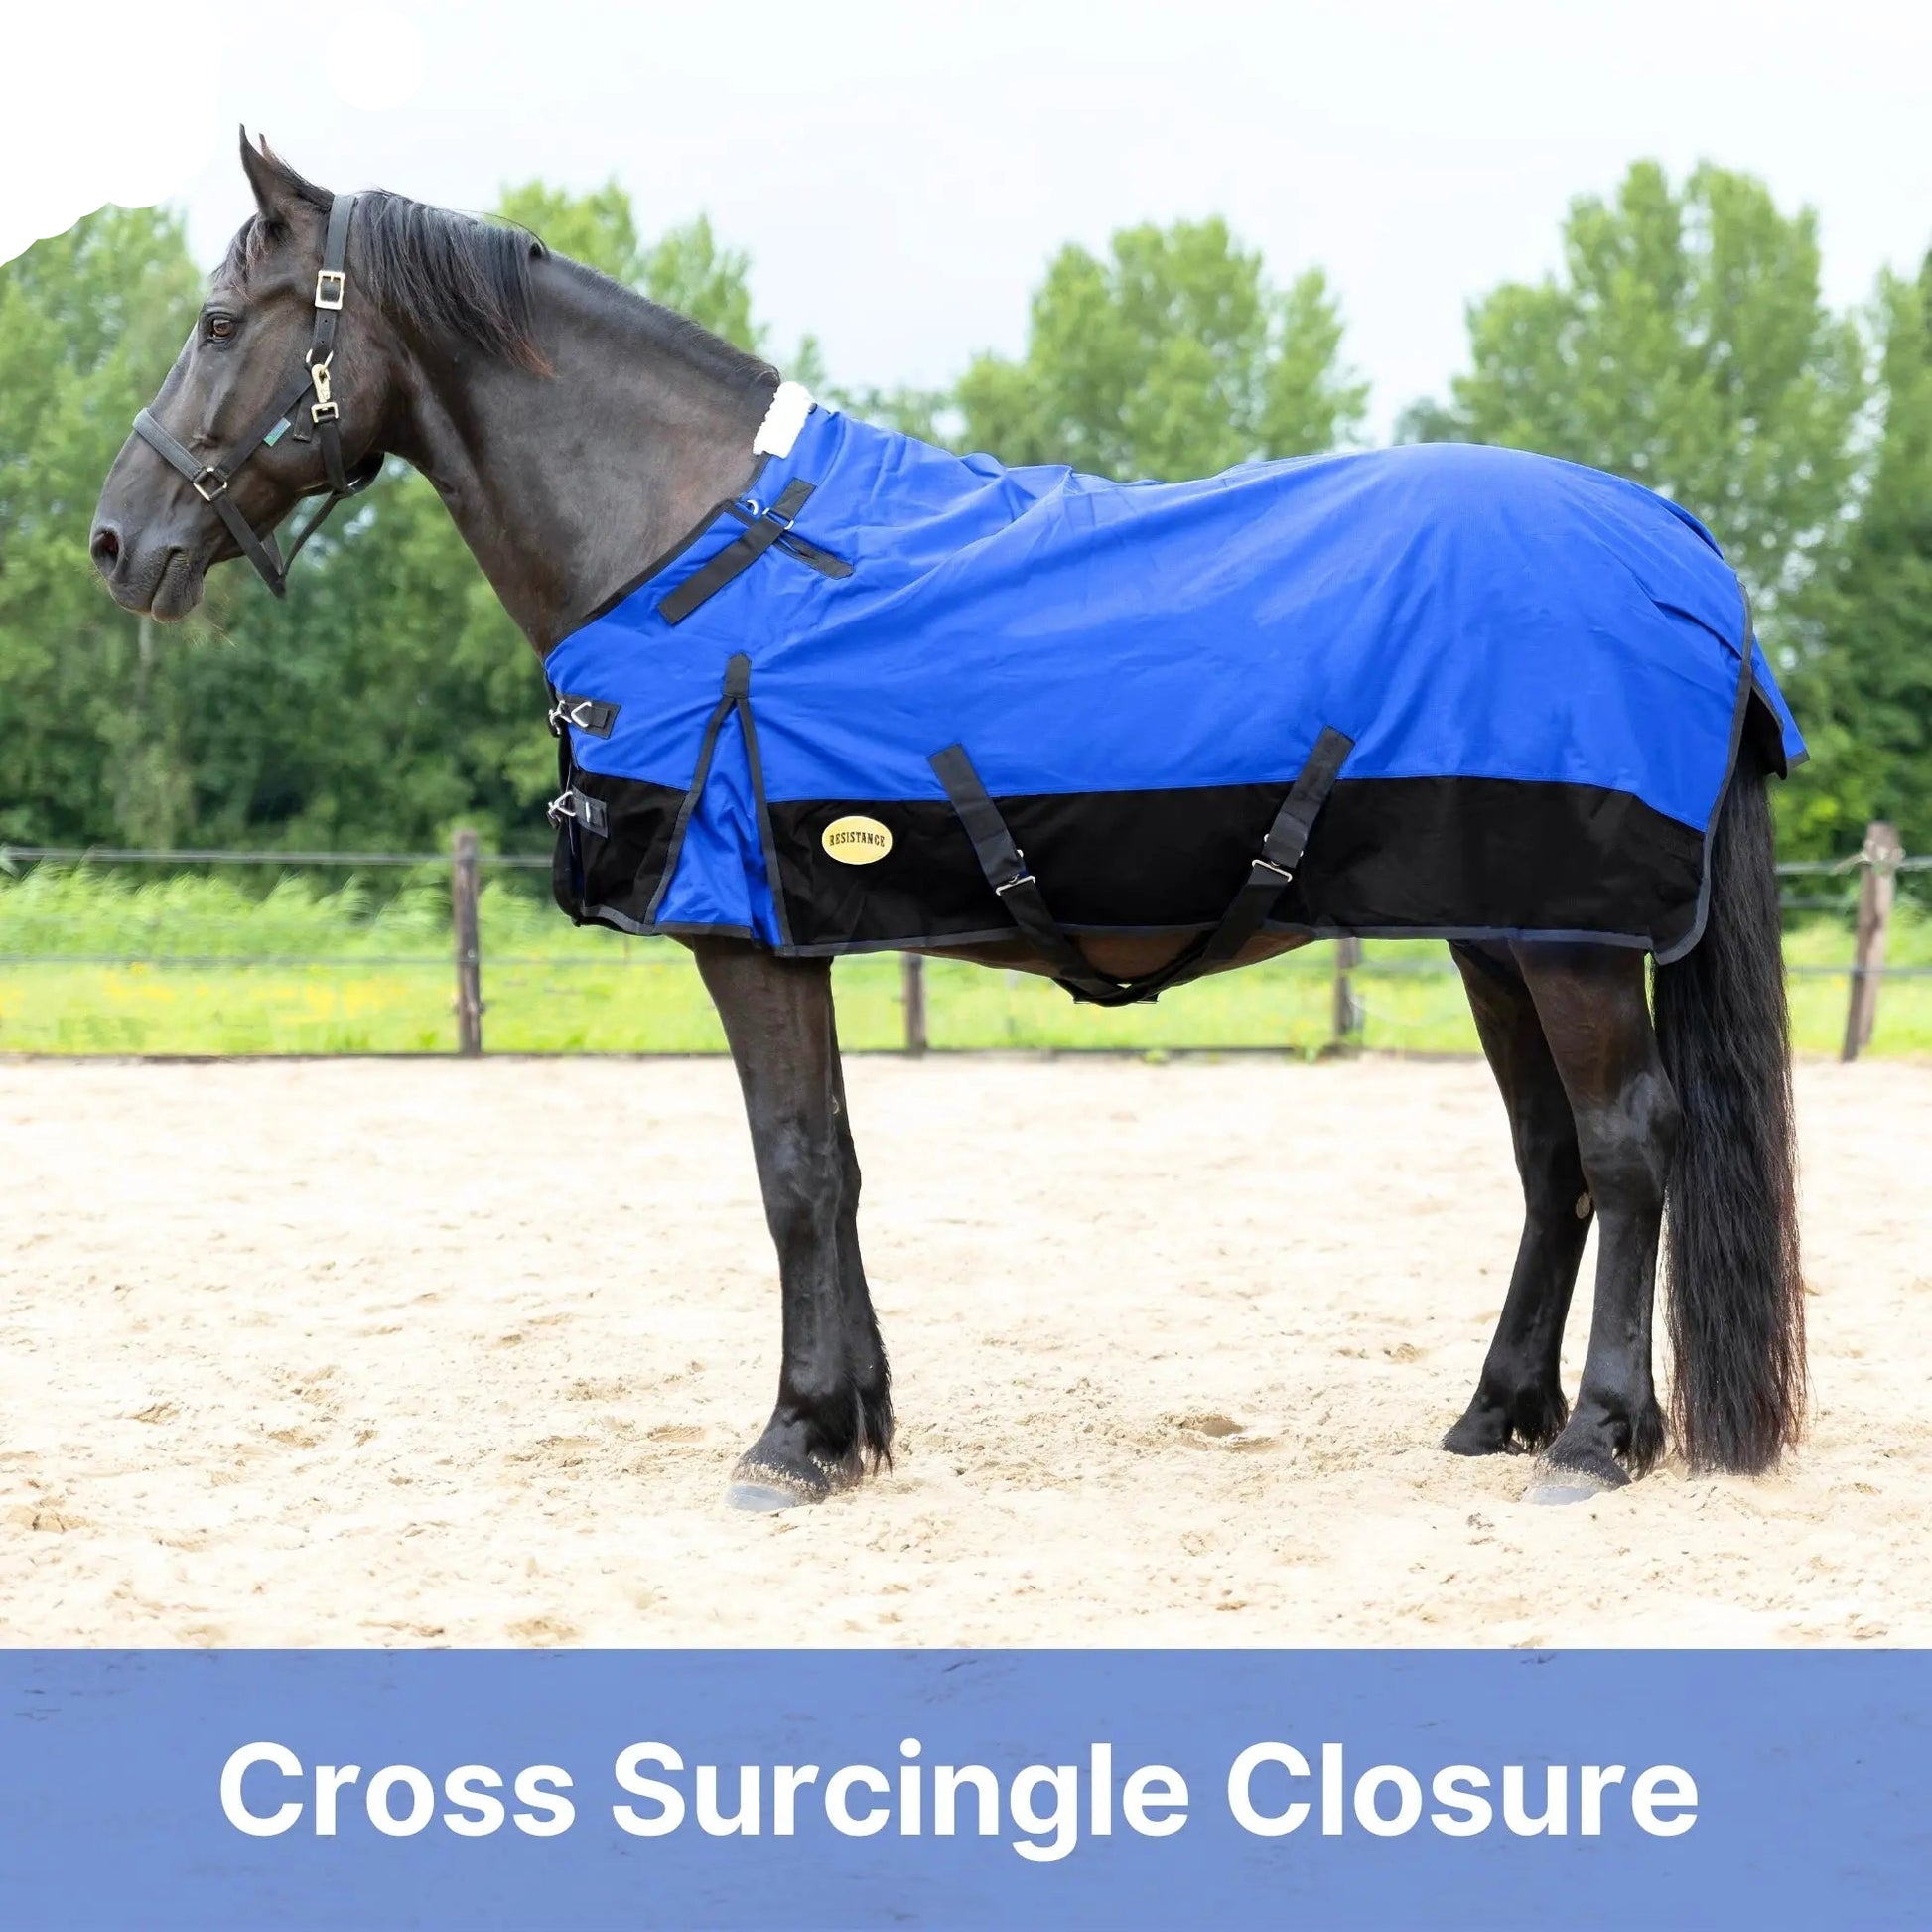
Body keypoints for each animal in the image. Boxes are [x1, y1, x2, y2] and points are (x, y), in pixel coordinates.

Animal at [90, 135, 1805, 1511]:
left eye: (218, 323)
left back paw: (1595, 1438)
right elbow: (837, 1164)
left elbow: (791, 1169)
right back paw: (1494, 1412)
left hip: (1564, 938)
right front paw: (853, 1424)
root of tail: (1673, 542)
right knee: (1549, 1155)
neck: (697, 543)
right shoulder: (795, 935)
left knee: (1627, 1144)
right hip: (1499, 928)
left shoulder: (745, 938)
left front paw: (792, 1440)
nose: (118, 540)